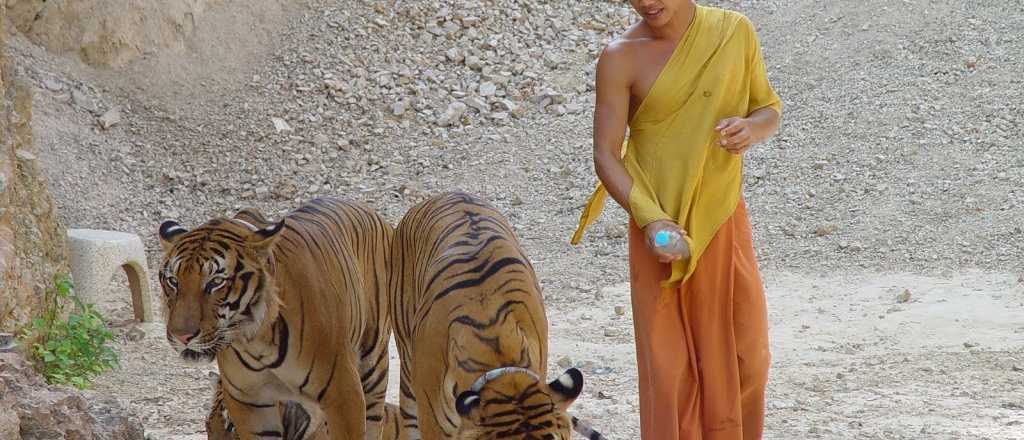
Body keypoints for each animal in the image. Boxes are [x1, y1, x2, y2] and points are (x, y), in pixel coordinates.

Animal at [157, 200, 393, 440]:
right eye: (173, 281)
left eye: (215, 282)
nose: (181, 336)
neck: (255, 340)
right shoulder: (250, 404)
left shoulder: (343, 393)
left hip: (373, 366)